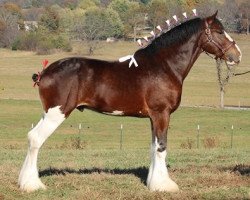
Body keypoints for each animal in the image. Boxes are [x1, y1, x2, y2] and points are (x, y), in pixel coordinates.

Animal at [18, 12, 241, 192]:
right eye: (219, 31)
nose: (237, 55)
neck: (164, 66)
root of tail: (44, 72)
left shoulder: (153, 117)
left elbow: (153, 147)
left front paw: (153, 182)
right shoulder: (162, 113)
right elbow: (161, 147)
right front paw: (164, 185)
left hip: (48, 112)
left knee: (30, 136)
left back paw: (24, 181)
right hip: (57, 112)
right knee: (36, 139)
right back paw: (33, 185)